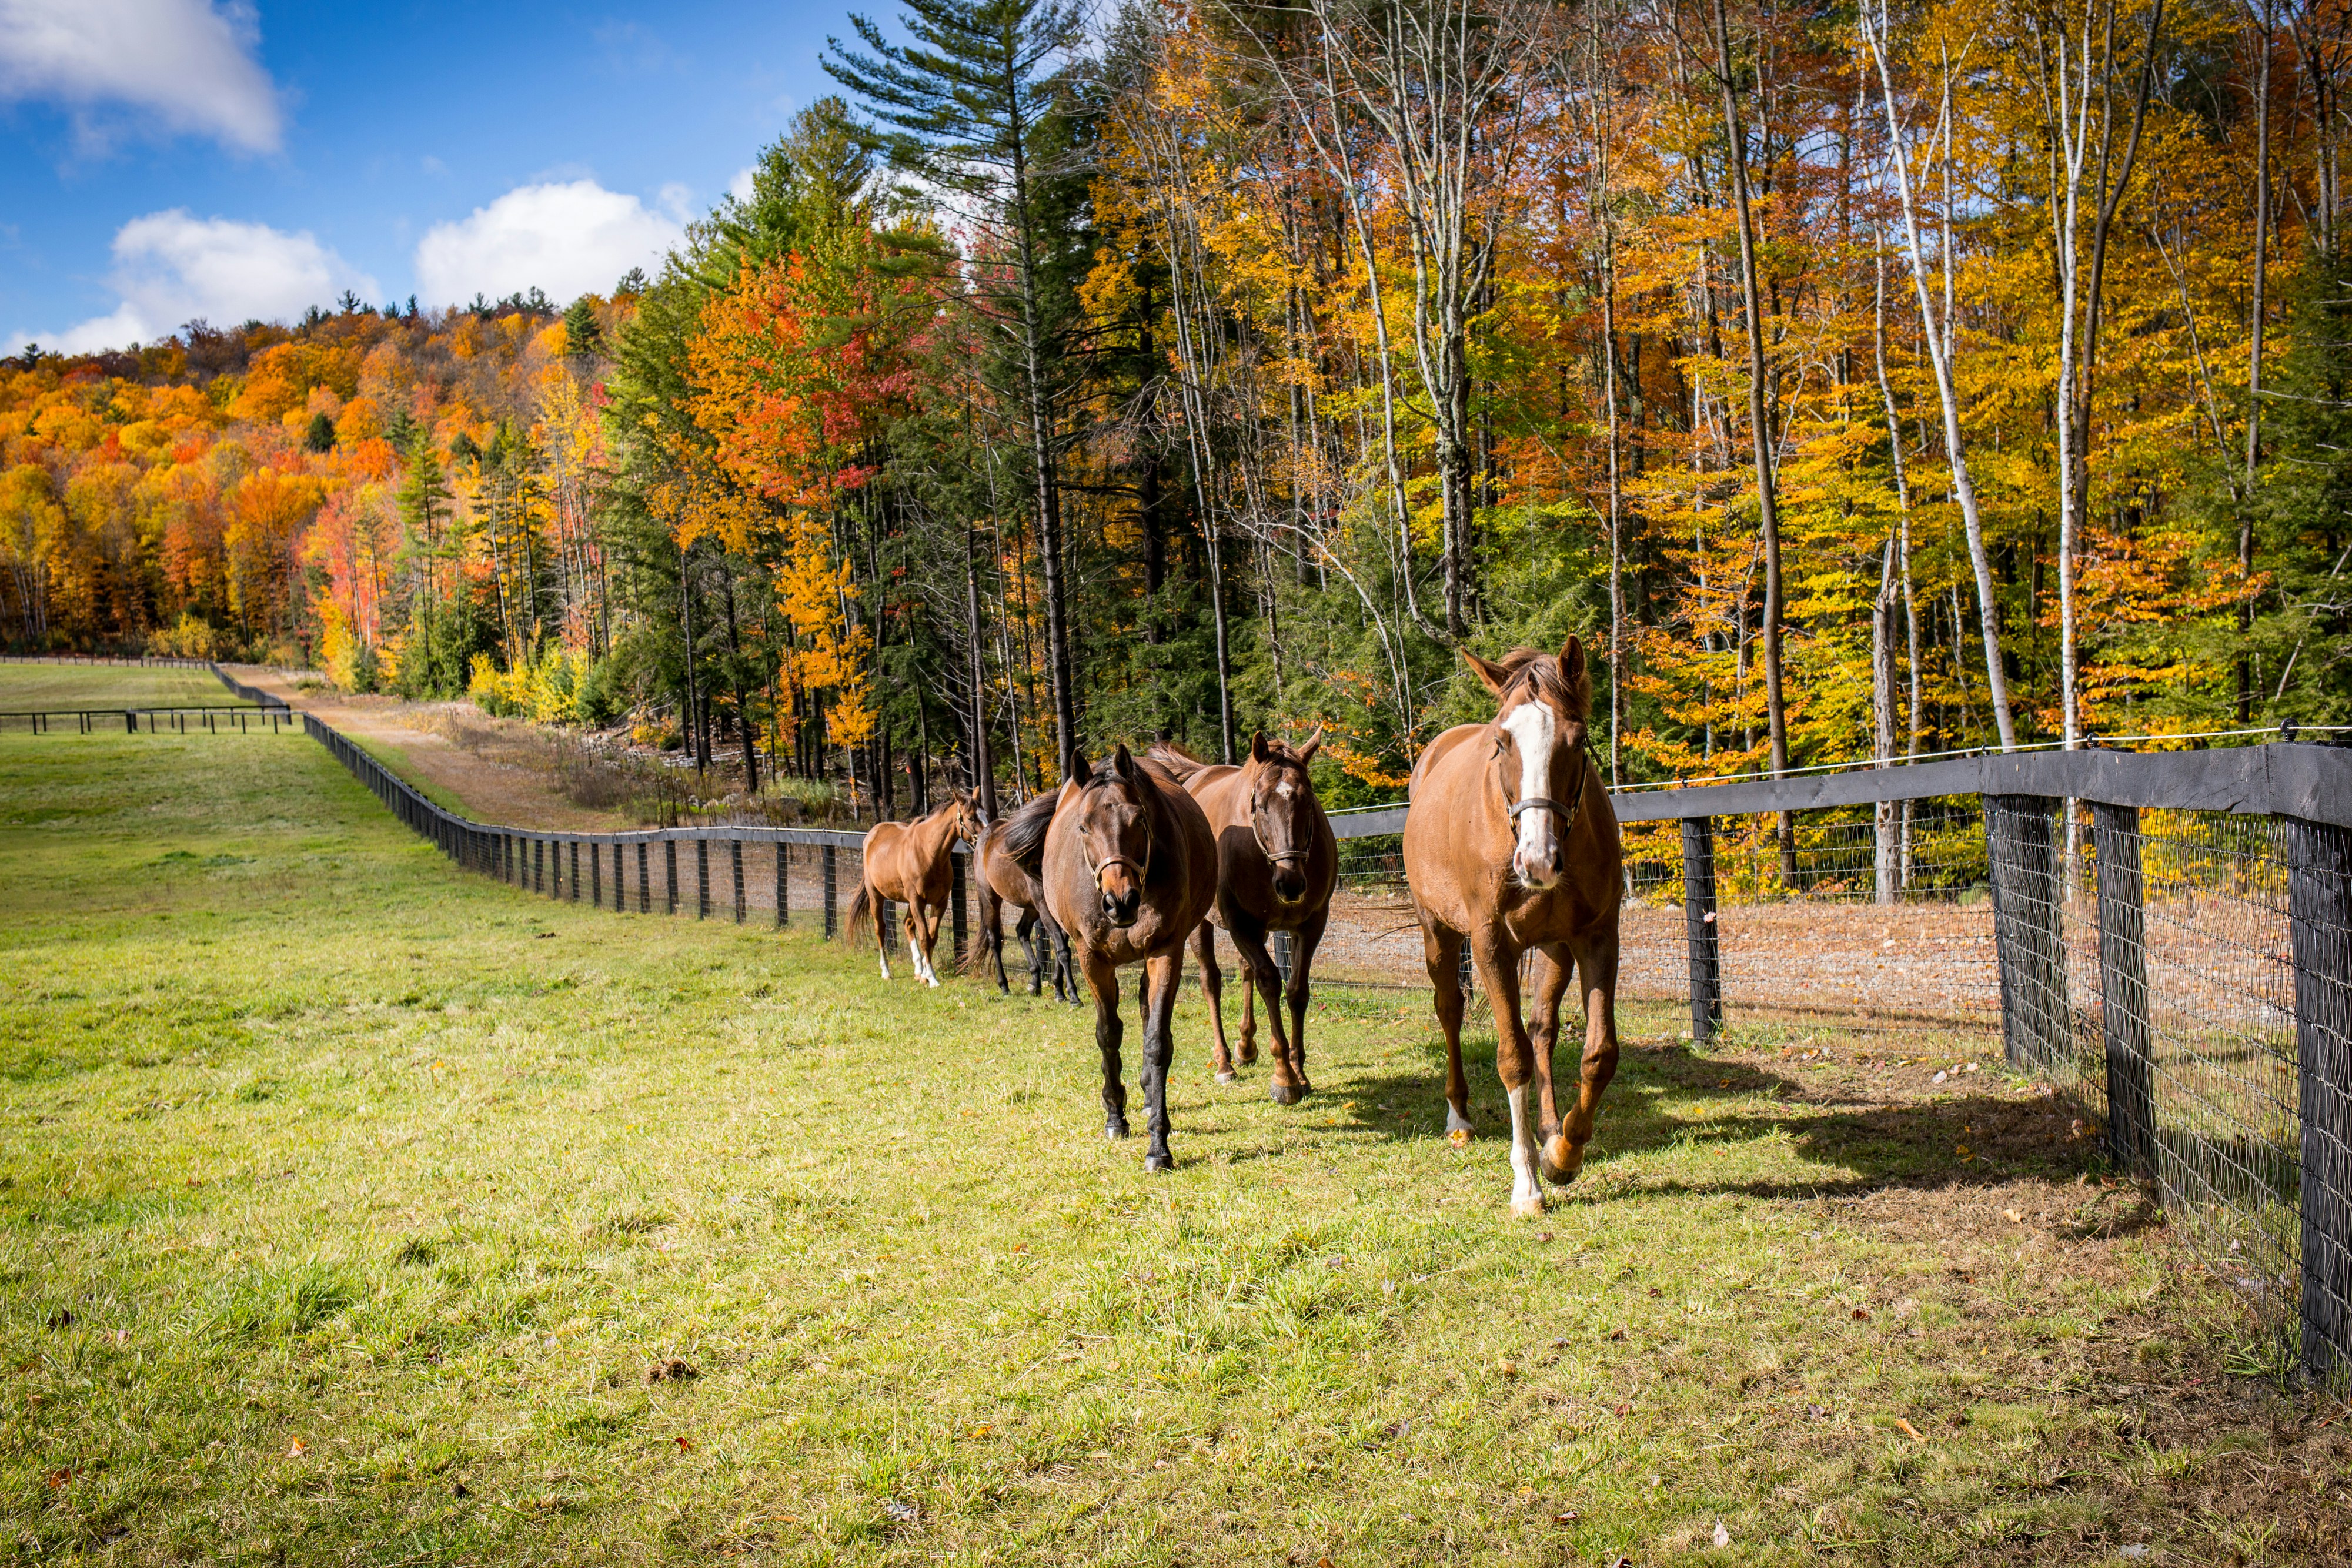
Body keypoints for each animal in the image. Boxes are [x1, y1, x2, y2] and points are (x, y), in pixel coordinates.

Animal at [844, 790, 982, 987]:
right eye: (971, 817)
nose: (986, 836)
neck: (929, 853)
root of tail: (872, 834)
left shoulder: (940, 903)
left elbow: (932, 937)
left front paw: (924, 974)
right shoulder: (917, 901)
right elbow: (925, 937)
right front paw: (932, 978)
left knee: (908, 925)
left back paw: (917, 970)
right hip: (876, 896)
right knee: (880, 929)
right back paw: (886, 971)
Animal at [966, 792, 1081, 1002]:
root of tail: (986, 835)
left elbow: (1061, 948)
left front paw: (1058, 990)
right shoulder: (1045, 909)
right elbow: (1063, 950)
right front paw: (1072, 995)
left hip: (1030, 907)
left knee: (1021, 931)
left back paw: (1034, 983)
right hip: (991, 899)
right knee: (995, 940)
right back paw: (1004, 986)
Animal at [1021, 744, 1217, 1171]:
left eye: (1139, 818)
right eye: (1083, 827)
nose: (1120, 901)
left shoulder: (1166, 950)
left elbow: (1157, 1040)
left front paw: (1159, 1144)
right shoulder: (1091, 957)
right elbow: (1108, 1033)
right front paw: (1115, 1114)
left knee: (1145, 1008)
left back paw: (1147, 1094)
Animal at [1147, 732, 1337, 1104]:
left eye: (1309, 803)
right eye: (1261, 805)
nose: (1291, 883)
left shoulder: (1310, 926)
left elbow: (1296, 991)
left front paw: (1300, 1071)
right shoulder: (1241, 925)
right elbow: (1269, 981)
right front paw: (1284, 1077)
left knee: (1245, 970)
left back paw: (1246, 1046)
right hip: (1201, 926)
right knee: (1212, 981)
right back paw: (1224, 1063)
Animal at [1402, 638, 1623, 1217]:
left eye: (1578, 739)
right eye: (1501, 743)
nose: (1538, 860)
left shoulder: (1597, 938)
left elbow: (1598, 1054)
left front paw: (1564, 1153)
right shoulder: (1490, 945)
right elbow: (1512, 1058)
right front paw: (1526, 1183)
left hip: (1554, 950)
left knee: (1543, 1027)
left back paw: (1550, 1129)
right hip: (1439, 935)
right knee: (1451, 1011)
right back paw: (1460, 1116)